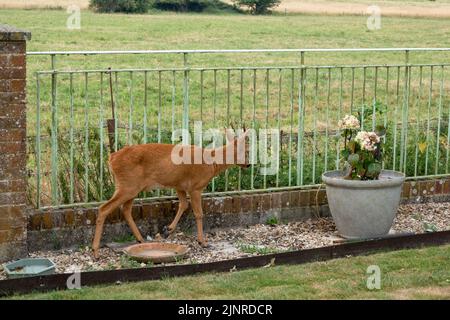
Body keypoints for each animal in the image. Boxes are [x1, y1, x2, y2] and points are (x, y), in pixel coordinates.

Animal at [92, 127, 251, 258]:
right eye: (246, 150)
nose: (248, 164)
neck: (211, 163)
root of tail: (111, 159)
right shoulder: (195, 187)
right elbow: (199, 213)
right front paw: (202, 242)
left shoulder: (179, 185)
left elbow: (183, 204)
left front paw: (168, 229)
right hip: (128, 185)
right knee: (104, 208)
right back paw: (95, 251)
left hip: (131, 187)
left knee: (125, 209)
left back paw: (140, 239)